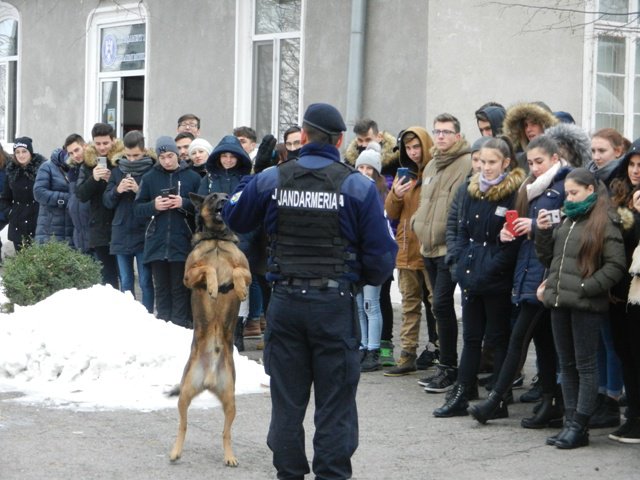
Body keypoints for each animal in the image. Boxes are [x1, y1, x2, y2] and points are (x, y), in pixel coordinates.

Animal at [169, 192, 251, 468]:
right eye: (214, 196)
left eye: (225, 195)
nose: (226, 199)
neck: (216, 238)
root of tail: (209, 379)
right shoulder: (188, 275)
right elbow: (208, 268)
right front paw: (214, 287)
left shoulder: (248, 271)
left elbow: (237, 271)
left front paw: (239, 289)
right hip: (184, 395)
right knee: (183, 425)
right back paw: (175, 451)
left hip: (231, 401)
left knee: (225, 432)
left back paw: (230, 456)